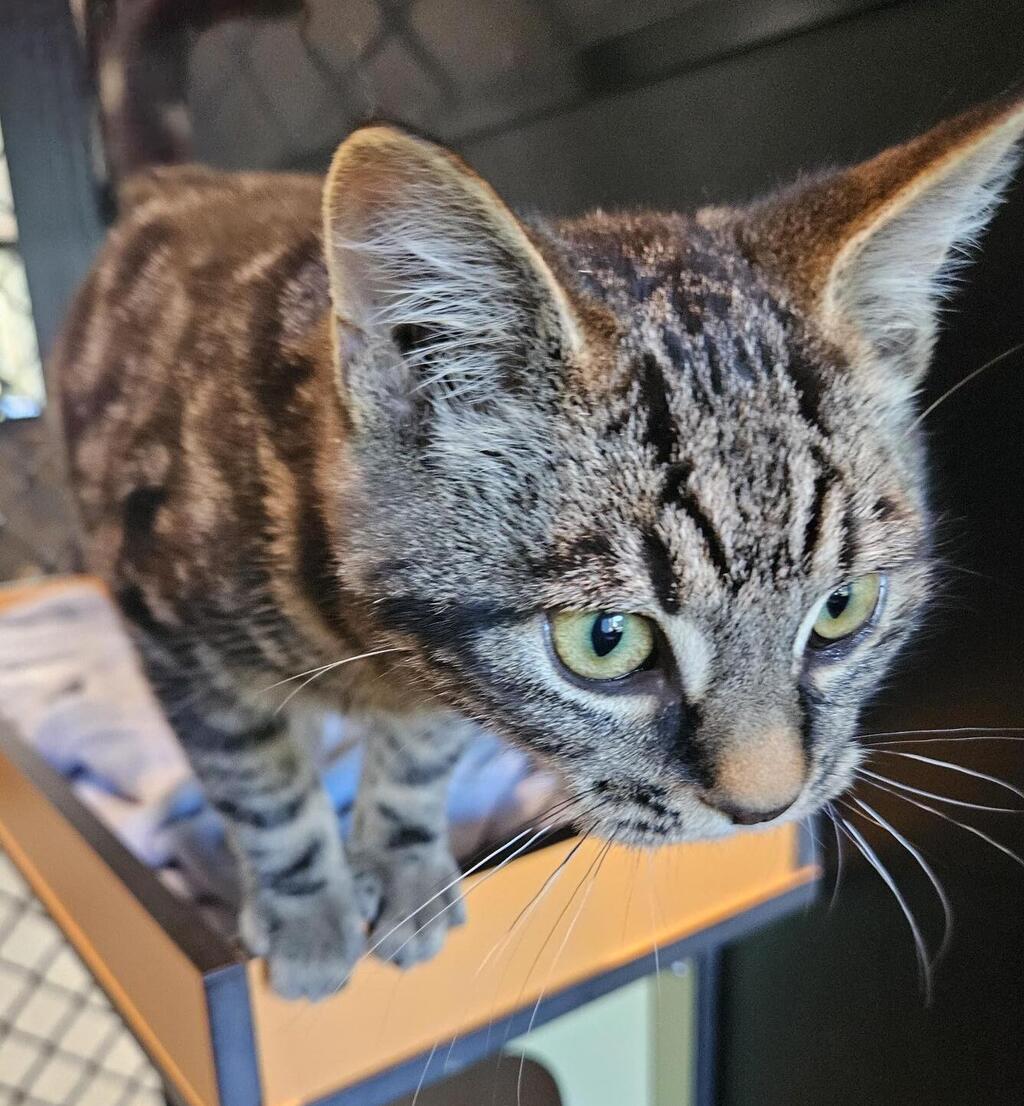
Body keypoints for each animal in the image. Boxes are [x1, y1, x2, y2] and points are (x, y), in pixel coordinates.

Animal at [55, 95, 1024, 1000]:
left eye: (842, 608)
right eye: (606, 640)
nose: (766, 806)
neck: (371, 647)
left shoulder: (437, 692)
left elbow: (418, 758)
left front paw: (402, 856)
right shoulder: (168, 633)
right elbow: (256, 779)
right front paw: (306, 905)